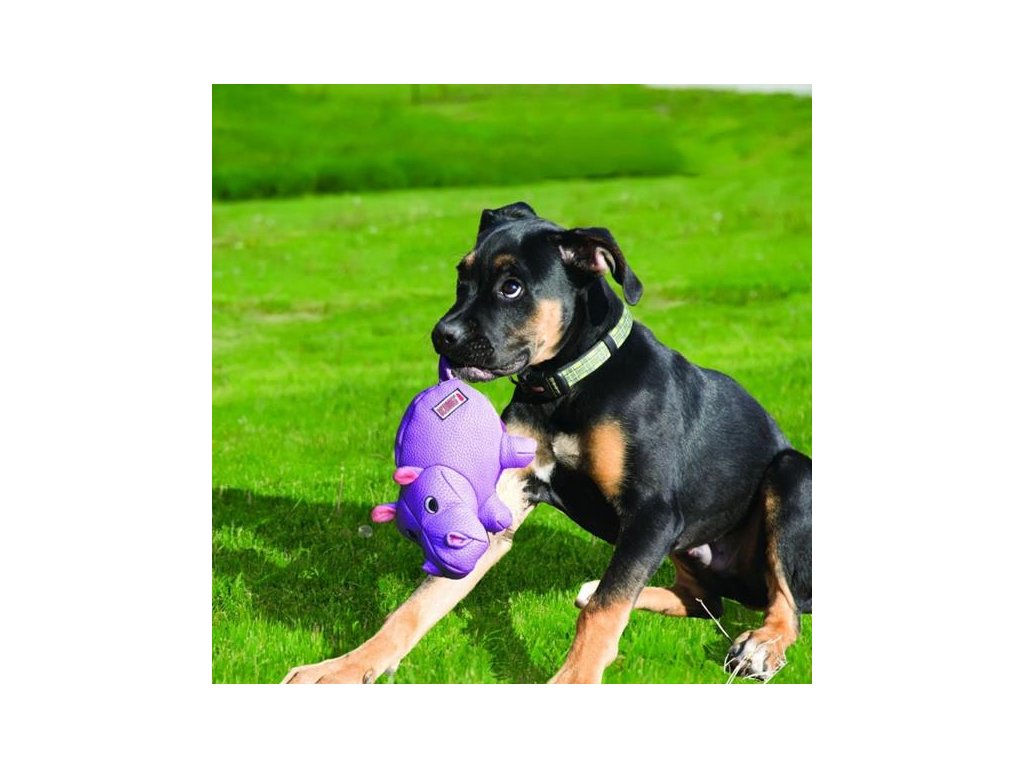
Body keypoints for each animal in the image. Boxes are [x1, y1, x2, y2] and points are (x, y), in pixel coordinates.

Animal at [283, 202, 811, 684]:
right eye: (461, 277)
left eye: (511, 287)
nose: (440, 336)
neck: (565, 386)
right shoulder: (503, 501)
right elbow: (417, 604)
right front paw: (344, 667)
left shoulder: (654, 513)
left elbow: (605, 609)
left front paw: (572, 681)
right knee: (703, 601)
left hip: (791, 475)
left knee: (786, 604)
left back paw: (761, 647)